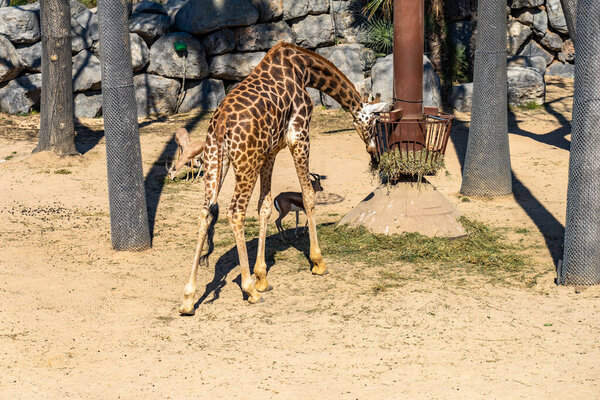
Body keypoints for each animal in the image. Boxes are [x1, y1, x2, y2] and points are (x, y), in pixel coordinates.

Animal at [177, 42, 390, 314]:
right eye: (374, 122)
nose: (374, 152)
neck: (304, 69)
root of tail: (222, 124)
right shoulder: (299, 135)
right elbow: (308, 195)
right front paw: (318, 262)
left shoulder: (270, 152)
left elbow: (265, 206)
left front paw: (262, 277)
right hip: (245, 163)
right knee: (235, 212)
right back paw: (248, 290)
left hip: (216, 161)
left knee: (205, 213)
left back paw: (188, 298)